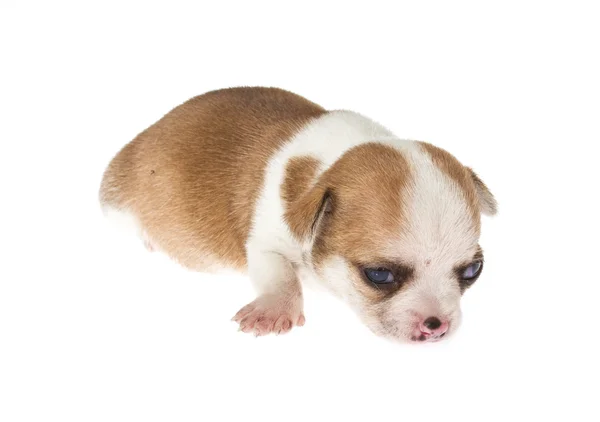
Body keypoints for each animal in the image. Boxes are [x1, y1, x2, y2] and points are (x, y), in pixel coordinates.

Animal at [99, 85, 496, 342]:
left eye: (472, 271)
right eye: (379, 275)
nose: (438, 325)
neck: (330, 164)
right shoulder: (265, 242)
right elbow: (280, 275)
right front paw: (274, 309)